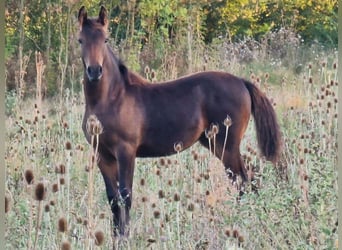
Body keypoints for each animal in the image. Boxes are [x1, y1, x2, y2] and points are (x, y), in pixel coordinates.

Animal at [77, 6, 280, 236]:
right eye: (80, 40)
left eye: (106, 39)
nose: (94, 71)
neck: (112, 97)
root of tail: (242, 82)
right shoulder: (102, 154)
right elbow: (113, 199)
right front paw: (115, 237)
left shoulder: (126, 151)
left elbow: (126, 196)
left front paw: (126, 237)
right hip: (215, 143)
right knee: (249, 179)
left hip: (227, 145)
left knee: (243, 181)